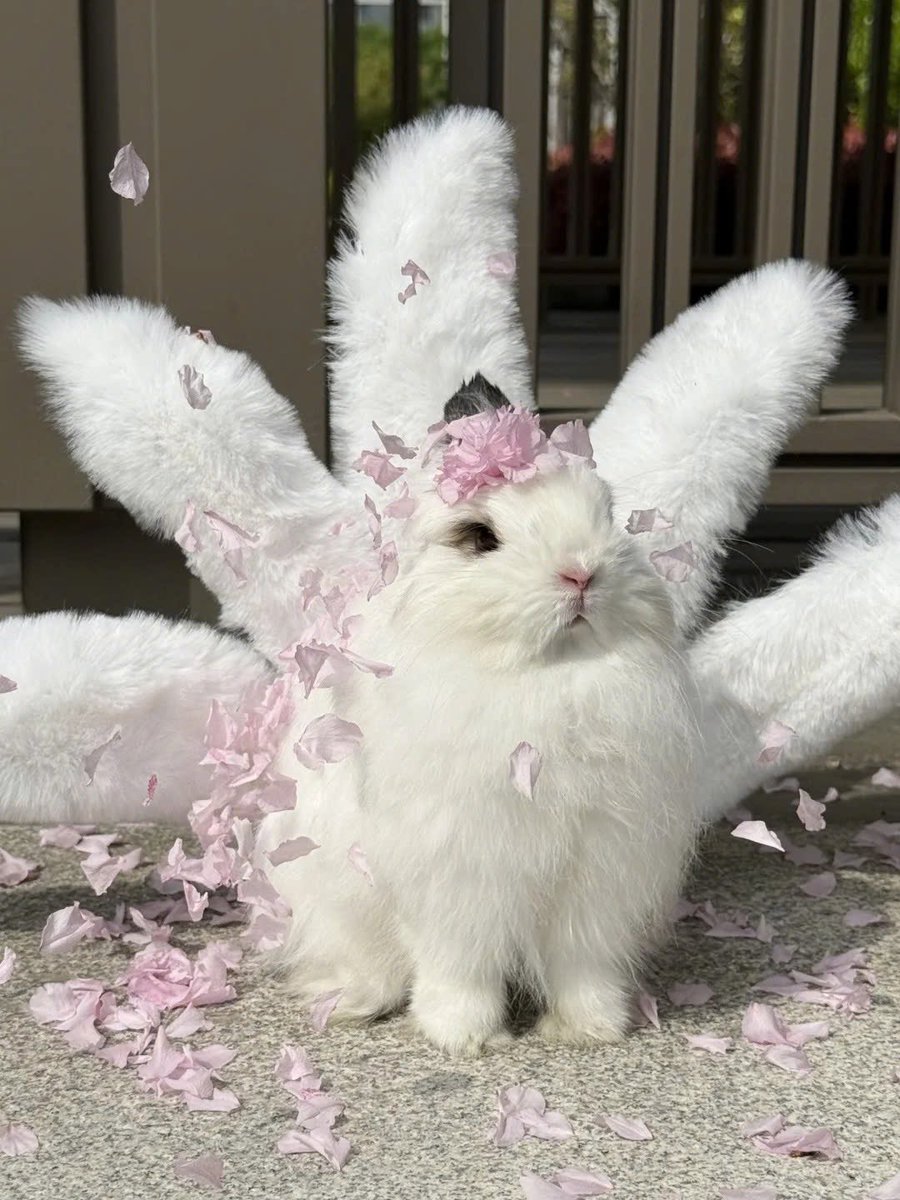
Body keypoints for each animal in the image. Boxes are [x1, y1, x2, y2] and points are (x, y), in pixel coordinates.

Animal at [260, 384, 704, 1056]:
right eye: (479, 536)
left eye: (607, 514)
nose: (581, 572)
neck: (546, 678)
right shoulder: (456, 876)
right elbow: (459, 965)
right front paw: (465, 1038)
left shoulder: (596, 878)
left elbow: (581, 966)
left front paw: (591, 1030)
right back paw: (354, 1003)